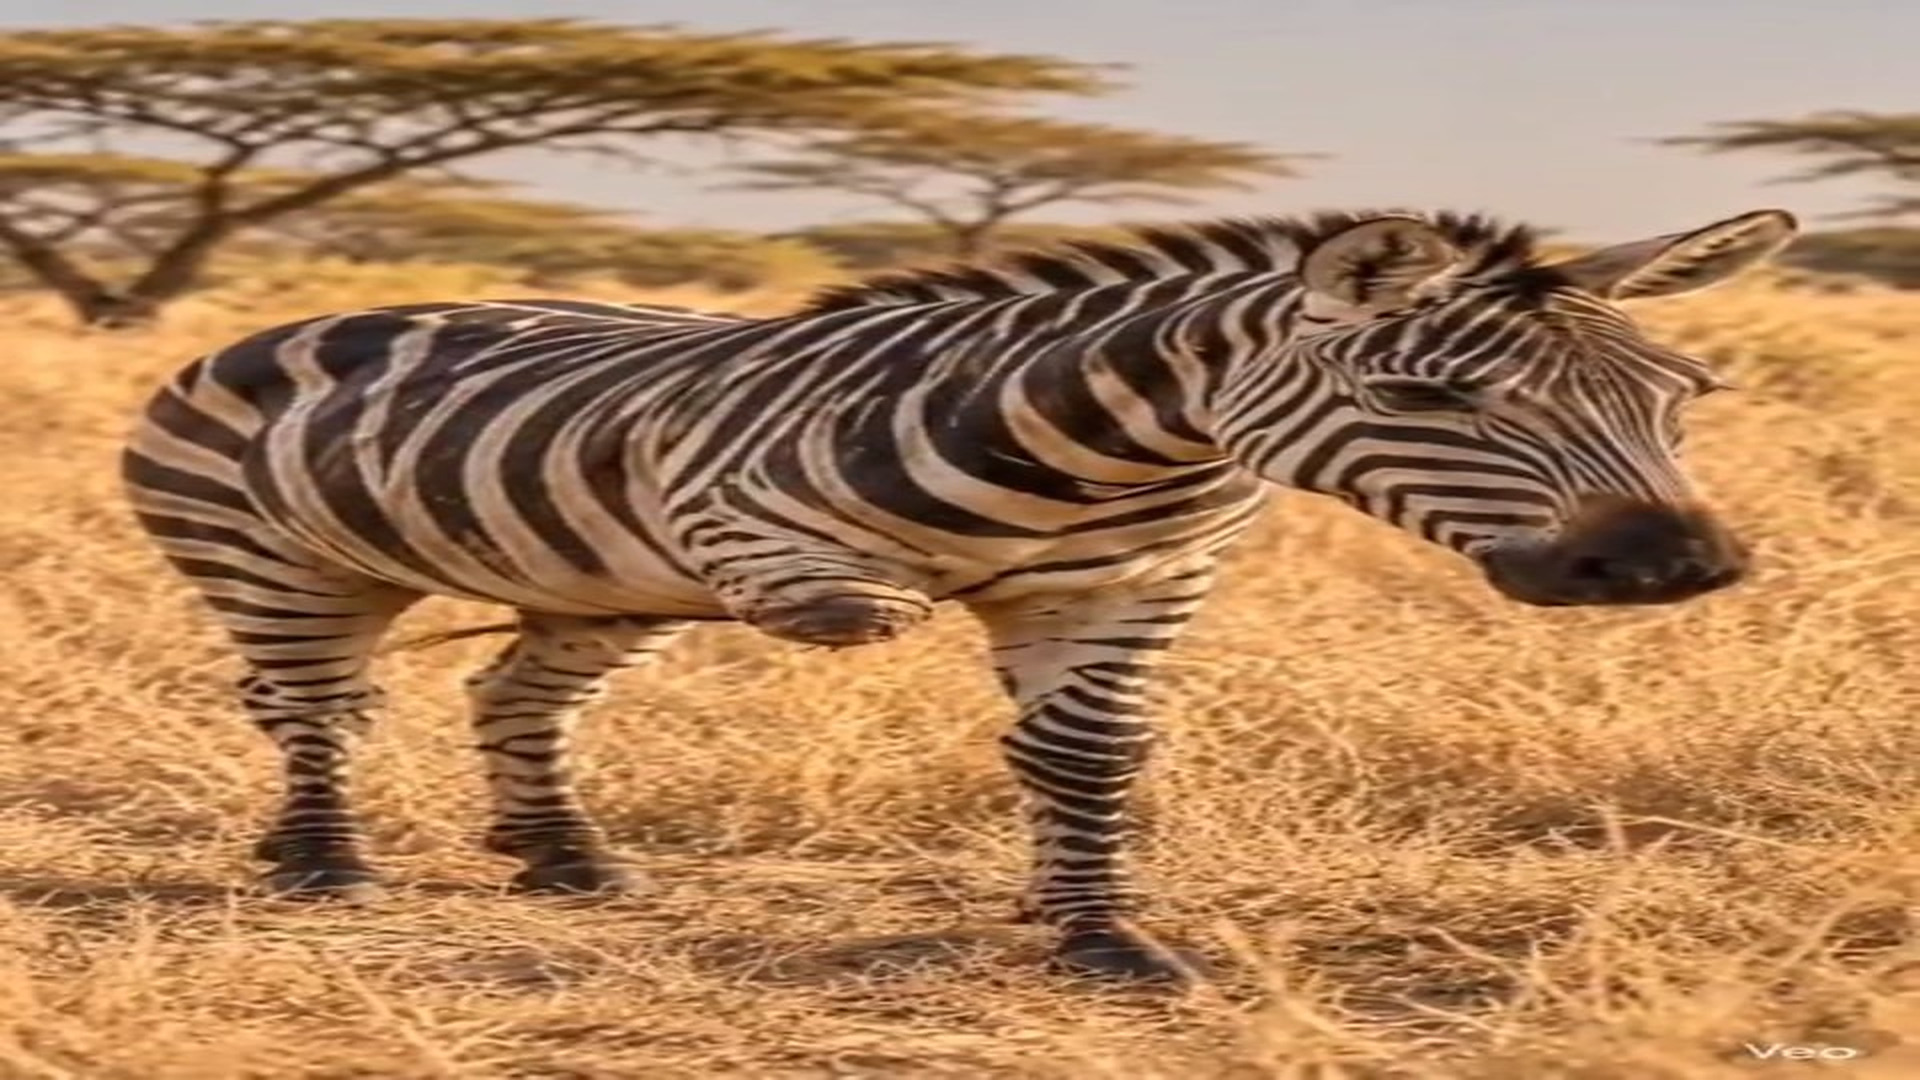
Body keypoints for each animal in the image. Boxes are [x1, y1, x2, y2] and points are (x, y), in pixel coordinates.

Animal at [121, 206, 1796, 980]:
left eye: (1682, 392)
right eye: (1424, 396)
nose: (1675, 567)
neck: (1109, 458)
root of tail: (297, 315)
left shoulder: (1130, 591)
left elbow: (1086, 757)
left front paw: (1095, 932)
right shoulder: (725, 514)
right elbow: (869, 614)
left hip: (592, 593)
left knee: (512, 690)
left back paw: (562, 857)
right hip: (281, 563)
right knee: (317, 704)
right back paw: (321, 862)